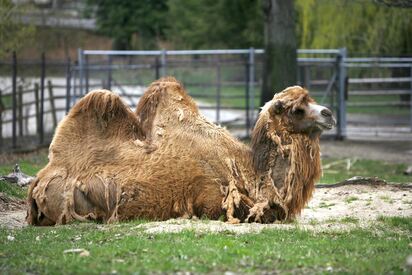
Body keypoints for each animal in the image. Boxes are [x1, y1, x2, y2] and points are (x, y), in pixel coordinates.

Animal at [25, 77, 334, 226]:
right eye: (297, 109)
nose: (328, 113)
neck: (248, 171)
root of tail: (39, 181)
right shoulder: (212, 199)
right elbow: (261, 214)